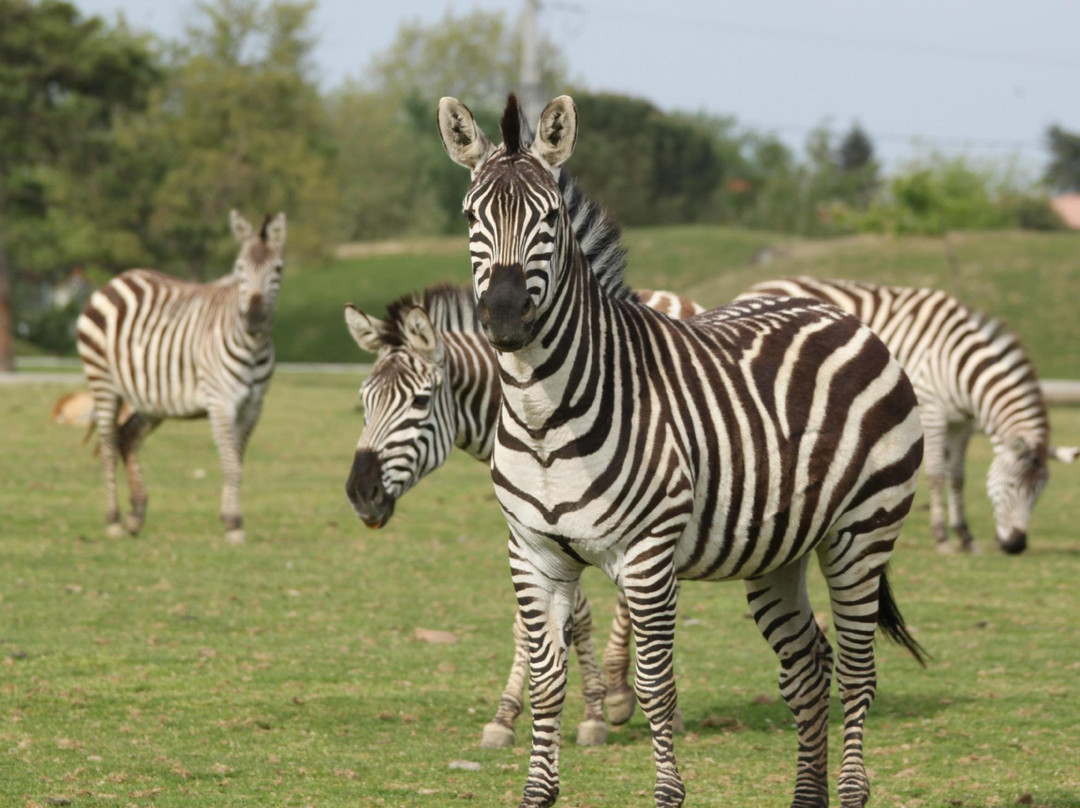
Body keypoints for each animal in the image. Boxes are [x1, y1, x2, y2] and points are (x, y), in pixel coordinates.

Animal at [77, 211, 287, 546]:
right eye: (240, 269)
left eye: (277, 269)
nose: (254, 319)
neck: (252, 345)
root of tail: (118, 279)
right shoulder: (221, 402)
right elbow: (231, 466)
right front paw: (233, 524)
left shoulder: (254, 406)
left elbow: (237, 462)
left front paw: (230, 518)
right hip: (103, 380)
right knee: (108, 445)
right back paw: (114, 520)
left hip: (150, 397)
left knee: (127, 437)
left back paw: (136, 515)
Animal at [438, 92, 928, 808]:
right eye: (471, 216)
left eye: (549, 217)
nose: (503, 319)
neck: (543, 419)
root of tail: (836, 314)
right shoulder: (532, 554)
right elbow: (547, 681)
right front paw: (537, 792)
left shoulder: (647, 557)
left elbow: (655, 686)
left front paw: (668, 793)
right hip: (778, 551)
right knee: (810, 668)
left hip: (863, 532)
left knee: (859, 671)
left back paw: (852, 790)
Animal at [738, 278, 1075, 557]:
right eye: (1011, 486)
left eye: (1040, 492)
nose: (1017, 546)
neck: (958, 364)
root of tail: (759, 285)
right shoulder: (932, 410)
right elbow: (937, 474)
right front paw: (942, 538)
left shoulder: (963, 422)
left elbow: (958, 477)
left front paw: (966, 537)